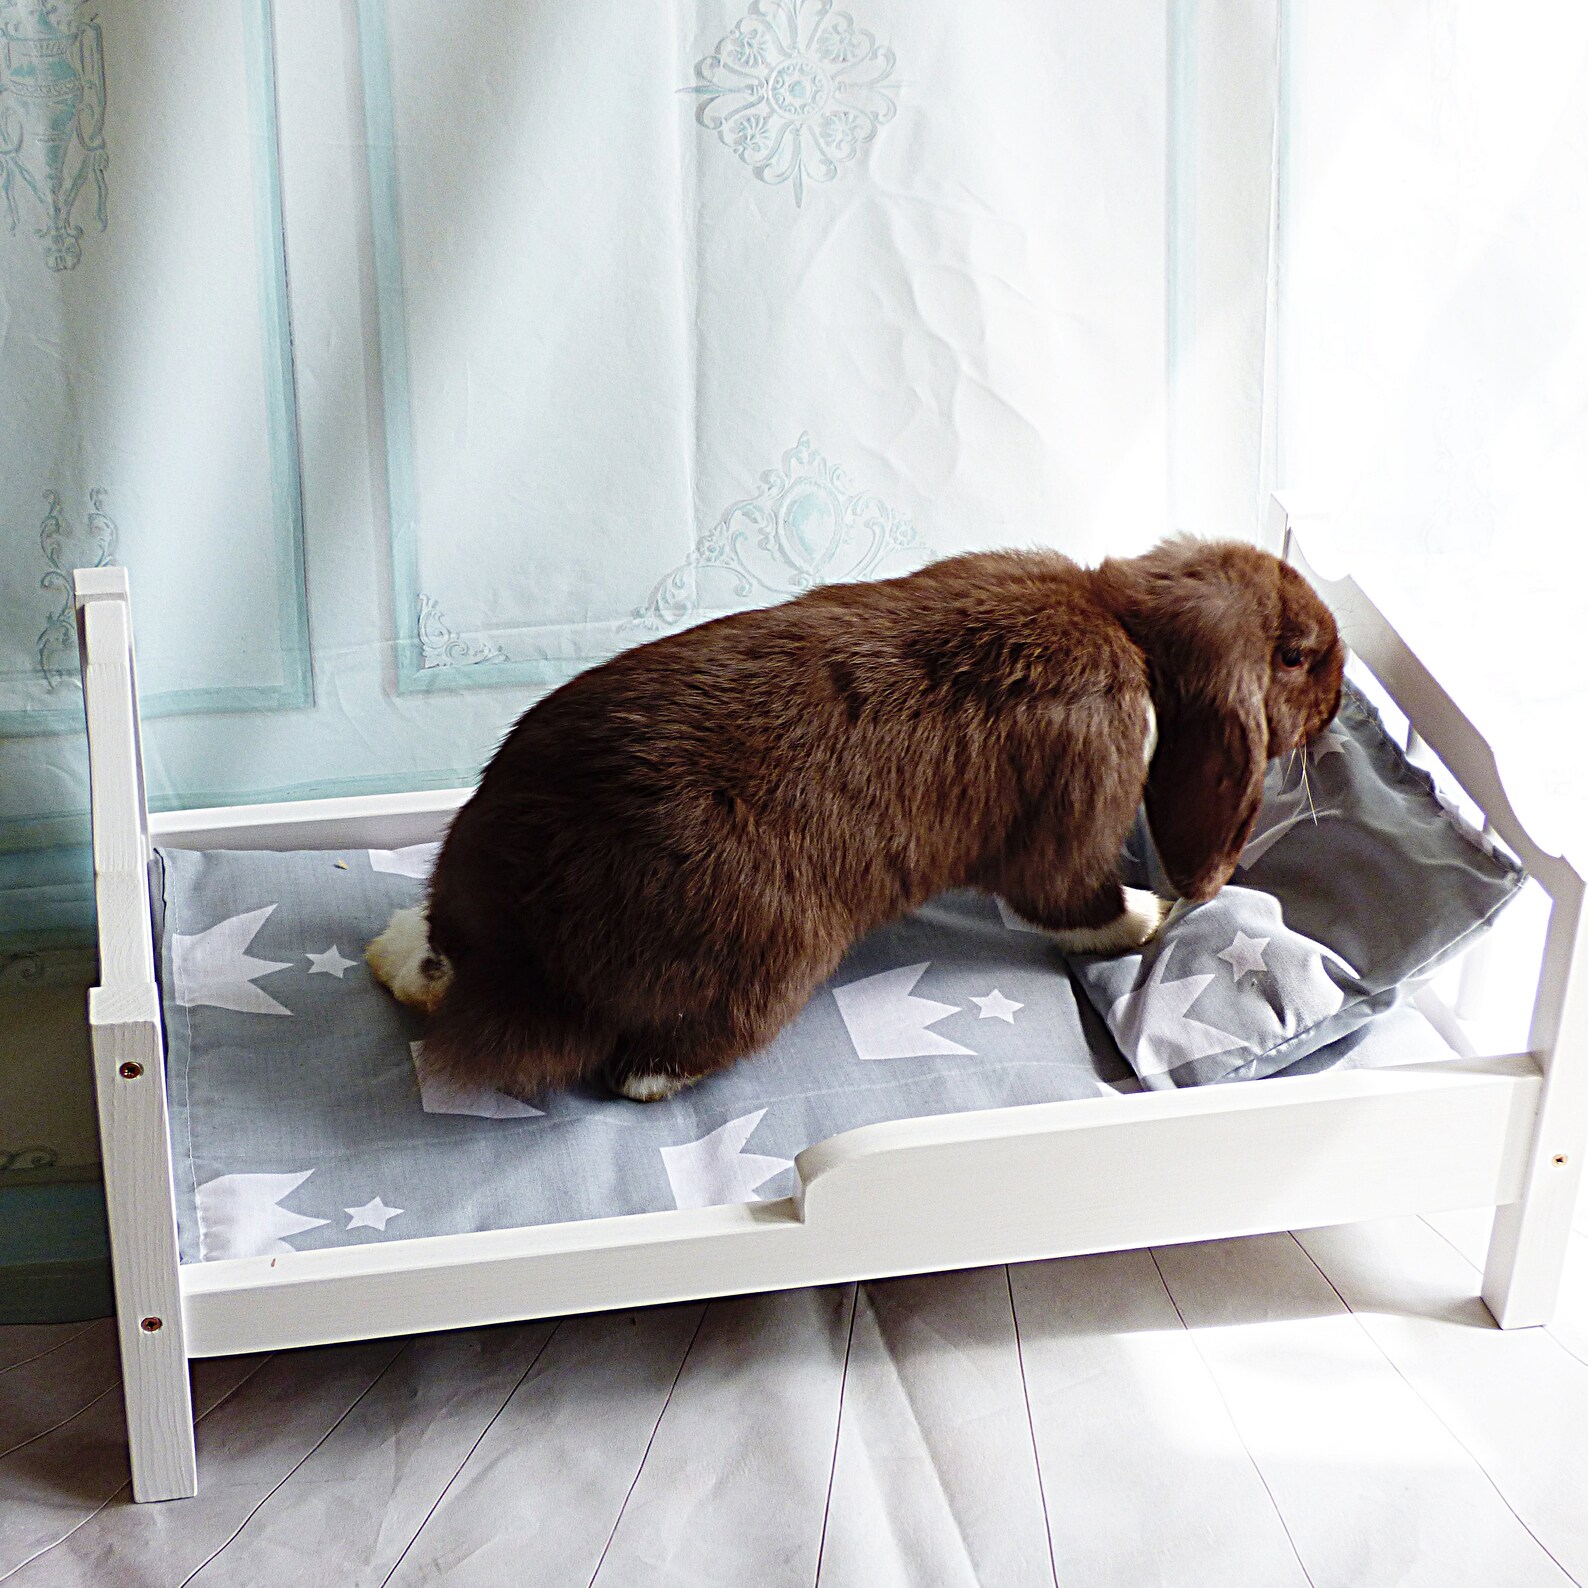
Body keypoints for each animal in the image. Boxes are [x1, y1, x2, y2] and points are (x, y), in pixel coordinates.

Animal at [367, 537, 1345, 1103]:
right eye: (1297, 655)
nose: (1339, 703)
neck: (1129, 629)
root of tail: (522, 942)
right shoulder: (1073, 815)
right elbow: (1072, 899)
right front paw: (1153, 914)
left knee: (431, 954)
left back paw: (394, 950)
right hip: (770, 956)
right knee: (647, 1070)